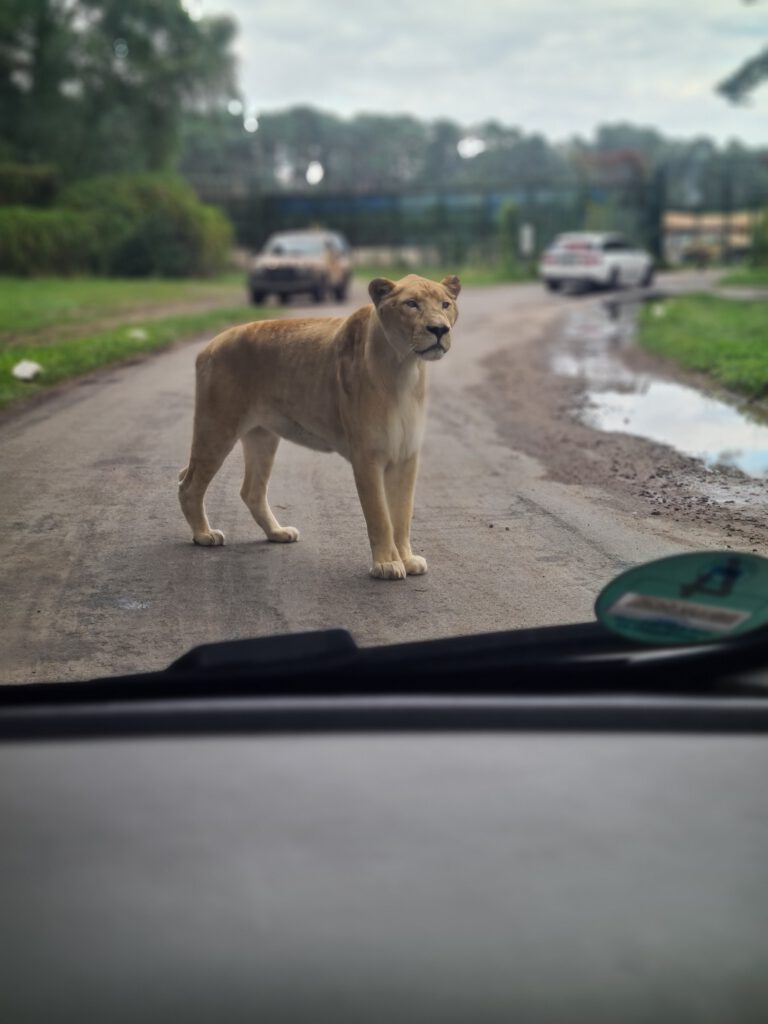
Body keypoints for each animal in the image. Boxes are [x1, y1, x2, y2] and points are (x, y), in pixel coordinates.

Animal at [178, 273, 461, 580]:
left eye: (445, 304)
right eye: (411, 304)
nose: (439, 329)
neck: (405, 367)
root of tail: (208, 346)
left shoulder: (406, 455)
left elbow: (401, 515)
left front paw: (407, 560)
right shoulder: (367, 457)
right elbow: (380, 516)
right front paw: (386, 564)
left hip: (262, 436)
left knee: (251, 490)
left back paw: (277, 532)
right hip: (217, 427)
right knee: (189, 484)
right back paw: (204, 535)